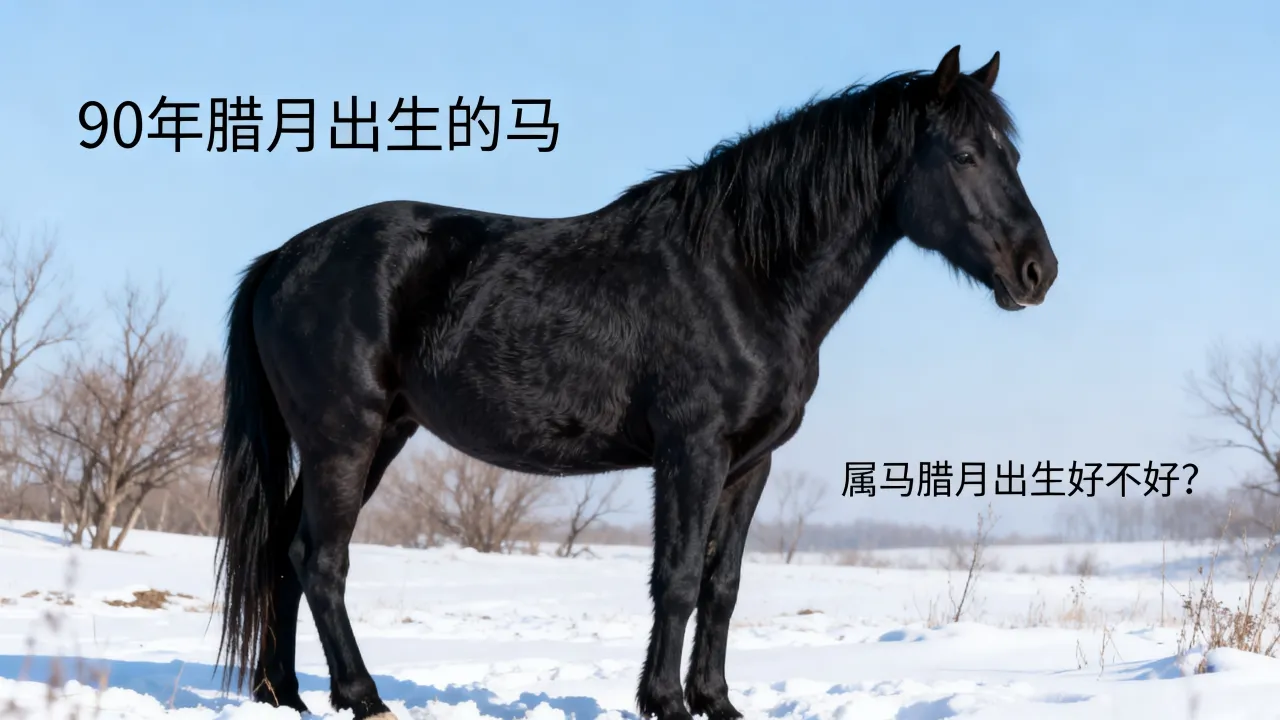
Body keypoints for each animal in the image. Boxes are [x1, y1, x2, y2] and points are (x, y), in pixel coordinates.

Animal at [212, 45, 1058, 720]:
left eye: (1014, 156)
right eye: (964, 155)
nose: (1037, 272)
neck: (741, 274)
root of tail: (282, 259)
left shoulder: (752, 464)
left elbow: (723, 584)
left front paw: (717, 703)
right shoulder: (692, 451)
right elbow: (677, 579)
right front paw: (666, 704)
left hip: (375, 434)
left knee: (281, 553)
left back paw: (284, 696)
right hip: (343, 439)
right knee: (321, 559)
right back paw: (364, 699)